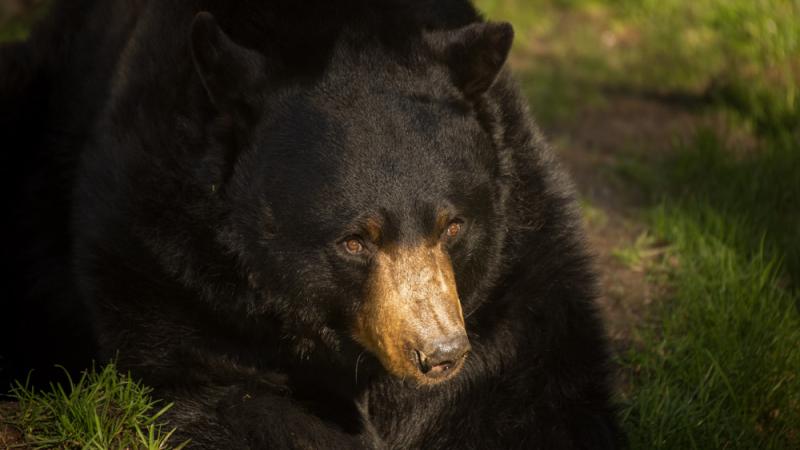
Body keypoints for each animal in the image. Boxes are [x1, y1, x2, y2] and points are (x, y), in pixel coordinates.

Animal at [0, 0, 620, 448]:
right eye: (354, 241)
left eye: (453, 227)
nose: (439, 354)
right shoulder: (164, 255)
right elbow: (227, 390)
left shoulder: (519, 267)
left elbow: (532, 387)